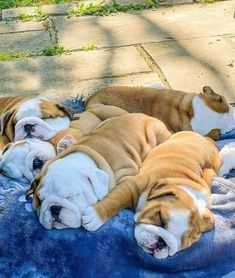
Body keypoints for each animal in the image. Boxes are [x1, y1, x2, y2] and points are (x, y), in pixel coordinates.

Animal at [26, 113, 172, 230]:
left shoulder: (126, 177)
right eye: (40, 200)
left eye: (71, 197)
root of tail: (149, 117)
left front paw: (94, 218)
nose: (53, 208)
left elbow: (115, 198)